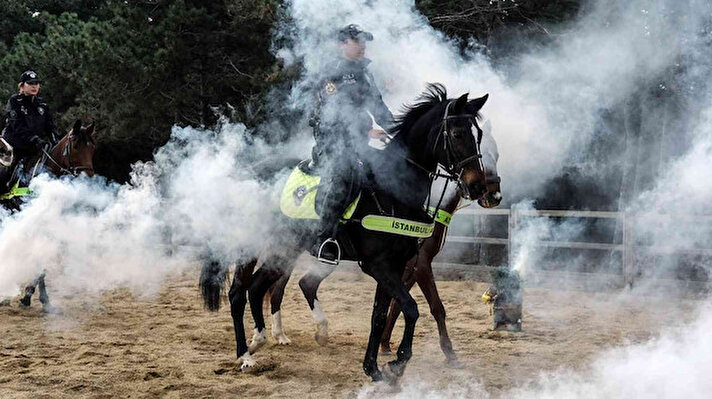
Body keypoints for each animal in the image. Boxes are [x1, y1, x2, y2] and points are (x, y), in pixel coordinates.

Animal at [197, 83, 492, 382]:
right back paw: (245, 355)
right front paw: (397, 362)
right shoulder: (378, 265)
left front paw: (373, 368)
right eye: (456, 134)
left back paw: (261, 340)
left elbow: (380, 316)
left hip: (285, 249)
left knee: (258, 288)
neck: (392, 190)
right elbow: (411, 309)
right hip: (250, 246)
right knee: (238, 293)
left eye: (478, 135)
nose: (478, 185)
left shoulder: (395, 266)